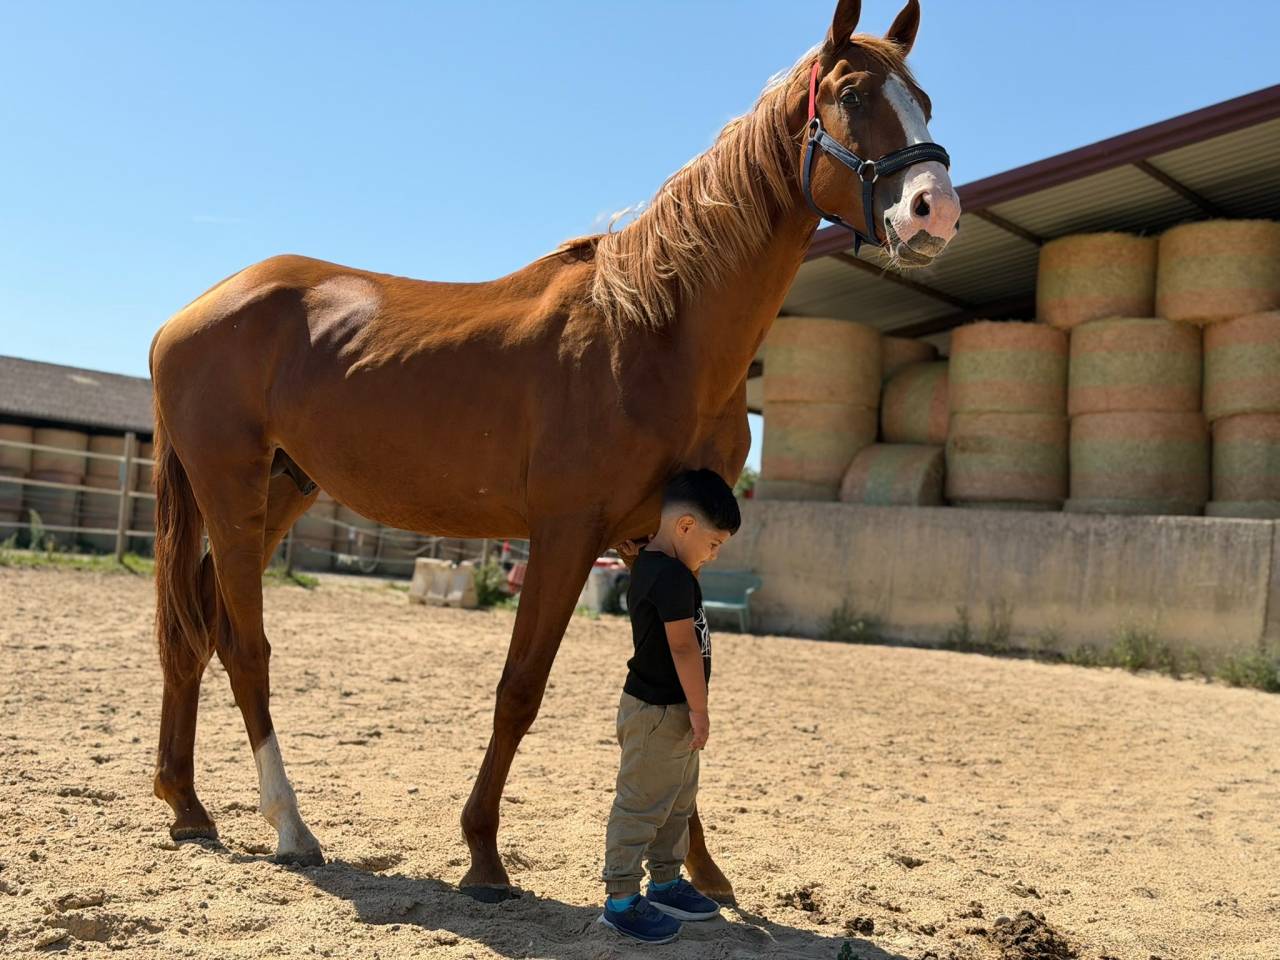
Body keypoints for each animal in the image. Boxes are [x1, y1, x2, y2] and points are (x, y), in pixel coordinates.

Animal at [149, 0, 960, 903]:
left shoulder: (654, 540)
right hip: (233, 494)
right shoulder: (566, 535)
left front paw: (701, 870)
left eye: (926, 100)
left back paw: (187, 807)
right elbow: (520, 689)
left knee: (192, 633)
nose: (934, 210)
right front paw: (483, 853)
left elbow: (679, 678)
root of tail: (188, 315)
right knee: (243, 645)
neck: (657, 333)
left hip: (280, 490)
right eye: (852, 95)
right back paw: (290, 827)